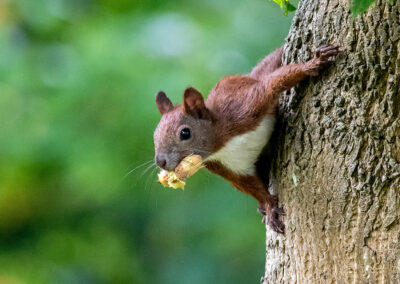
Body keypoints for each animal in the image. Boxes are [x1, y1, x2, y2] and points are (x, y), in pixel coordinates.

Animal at [152, 43, 340, 232]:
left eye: (185, 133)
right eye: (155, 136)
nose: (160, 161)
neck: (222, 144)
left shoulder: (243, 108)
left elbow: (273, 83)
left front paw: (313, 63)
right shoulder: (227, 167)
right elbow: (249, 185)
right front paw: (269, 207)